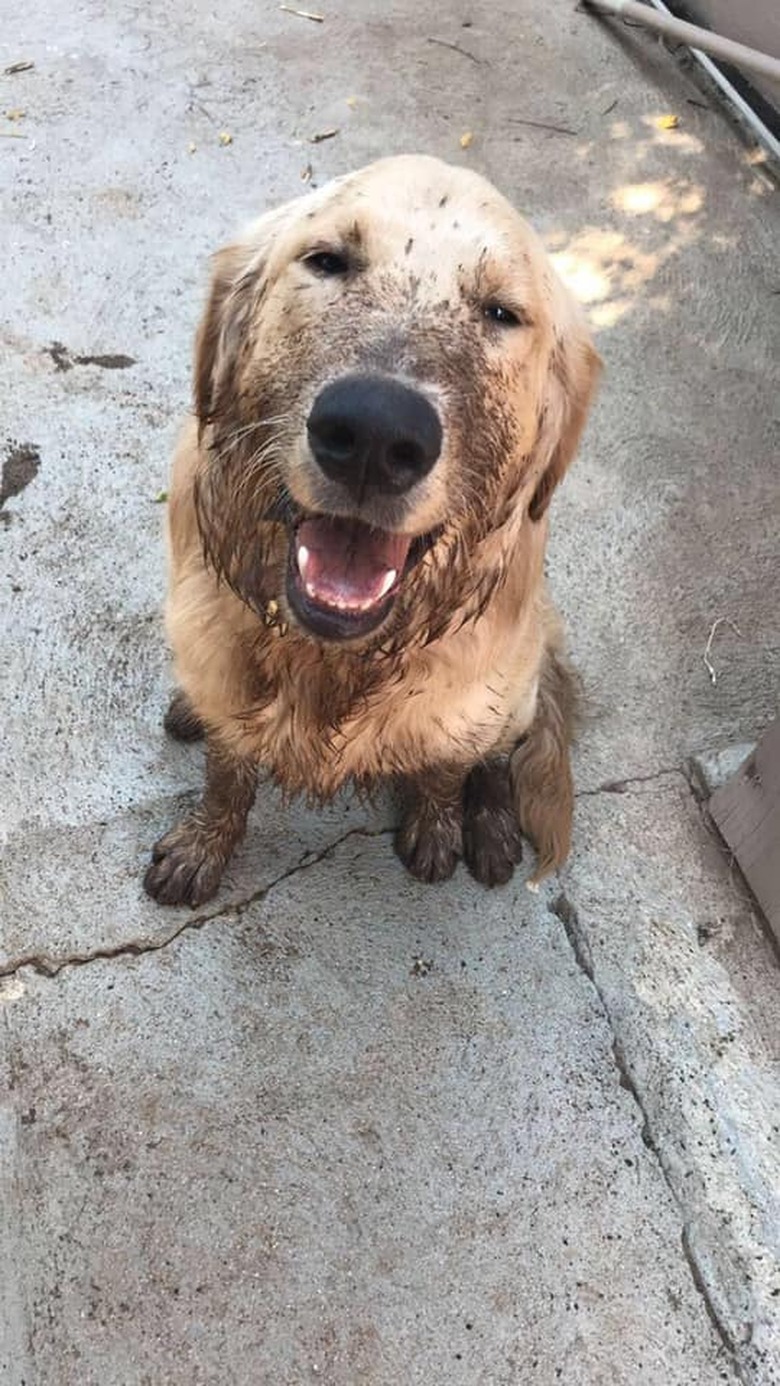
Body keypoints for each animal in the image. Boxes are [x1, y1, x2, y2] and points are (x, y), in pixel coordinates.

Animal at [143, 154, 601, 909]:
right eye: (327, 260)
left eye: (501, 312)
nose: (374, 435)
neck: (336, 662)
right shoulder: (224, 673)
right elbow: (226, 774)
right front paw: (203, 845)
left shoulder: (465, 706)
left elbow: (446, 768)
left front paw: (439, 824)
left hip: (518, 689)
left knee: (498, 753)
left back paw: (491, 824)